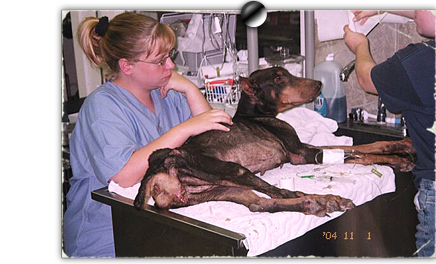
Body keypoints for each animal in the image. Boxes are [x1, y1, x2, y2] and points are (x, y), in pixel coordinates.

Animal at [134, 67, 416, 218]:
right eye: (279, 78)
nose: (319, 83)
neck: (256, 114)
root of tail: (157, 169)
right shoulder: (300, 152)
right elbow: (355, 152)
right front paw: (397, 157)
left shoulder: (303, 149)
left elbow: (357, 149)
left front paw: (400, 148)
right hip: (233, 170)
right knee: (283, 192)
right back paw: (324, 200)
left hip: (214, 191)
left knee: (260, 203)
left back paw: (315, 203)